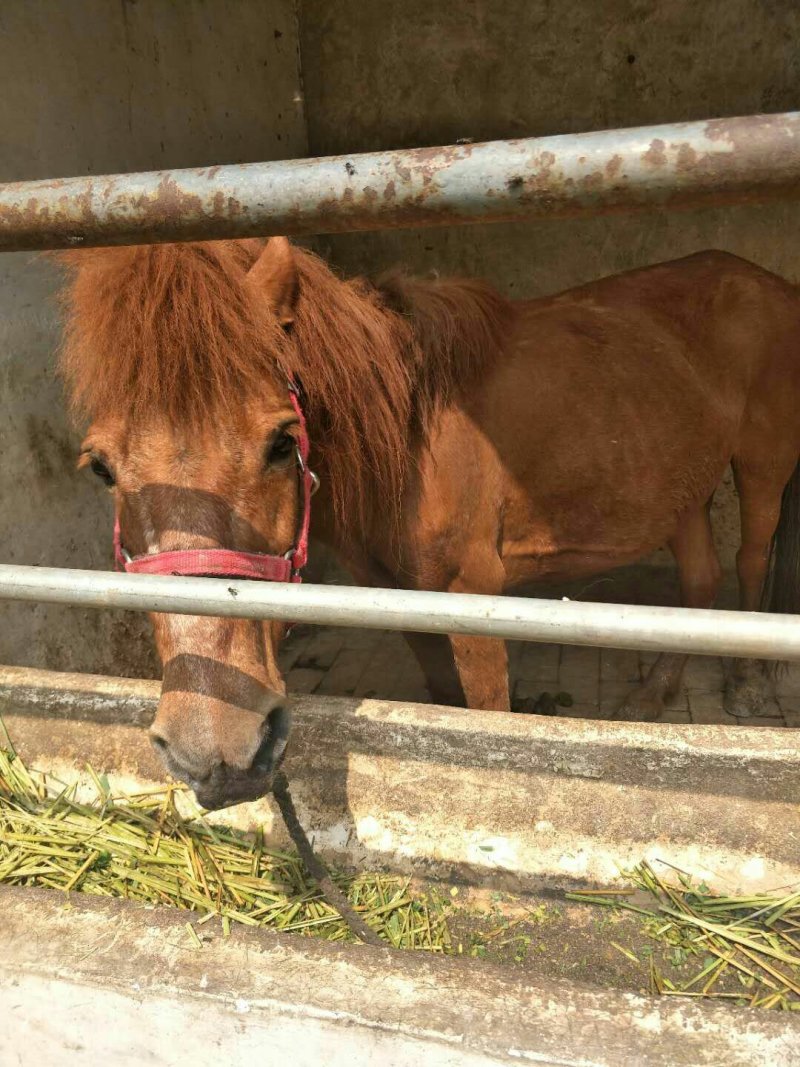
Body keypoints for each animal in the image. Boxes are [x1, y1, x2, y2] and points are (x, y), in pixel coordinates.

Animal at [56, 239, 800, 809]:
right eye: (101, 468)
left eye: (281, 442)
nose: (215, 751)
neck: (406, 434)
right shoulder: (399, 594)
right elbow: (441, 698)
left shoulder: (475, 596)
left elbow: (488, 712)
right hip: (681, 486)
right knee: (699, 585)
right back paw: (651, 696)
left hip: (760, 465)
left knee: (749, 562)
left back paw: (748, 686)